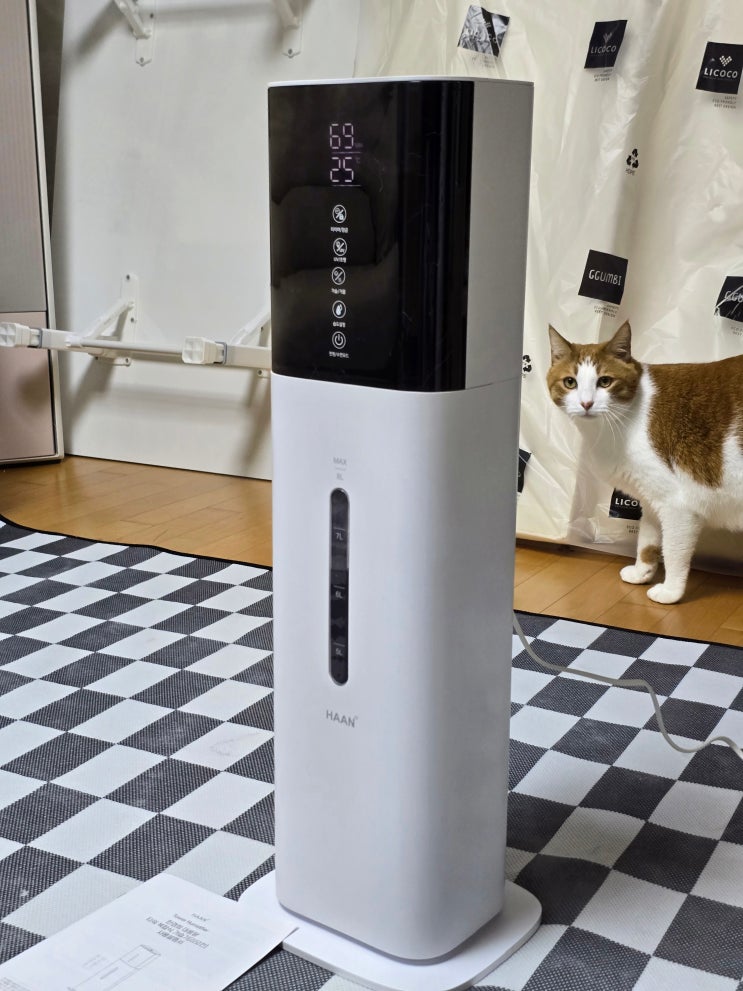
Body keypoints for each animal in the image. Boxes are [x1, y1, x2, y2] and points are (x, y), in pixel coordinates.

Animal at [546, 321, 743, 603]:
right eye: (570, 382)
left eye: (605, 381)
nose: (586, 403)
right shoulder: (651, 498)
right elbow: (647, 540)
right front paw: (642, 572)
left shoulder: (677, 505)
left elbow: (672, 550)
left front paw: (670, 591)